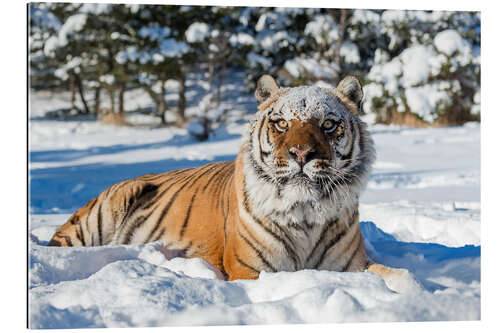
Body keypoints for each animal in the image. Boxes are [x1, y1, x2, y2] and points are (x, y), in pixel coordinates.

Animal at [47, 74, 410, 286]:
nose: (301, 154)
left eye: (329, 124)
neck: (305, 212)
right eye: (282, 123)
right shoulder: (249, 269)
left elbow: (403, 277)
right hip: (100, 215)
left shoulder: (353, 266)